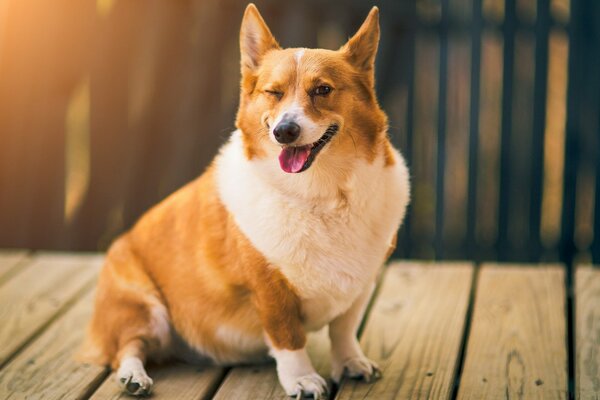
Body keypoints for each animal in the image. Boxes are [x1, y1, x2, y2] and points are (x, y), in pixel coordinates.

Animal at [82, 3, 410, 400]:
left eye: (322, 90)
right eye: (273, 92)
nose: (285, 131)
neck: (321, 193)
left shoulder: (361, 287)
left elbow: (344, 331)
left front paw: (350, 363)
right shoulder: (268, 287)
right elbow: (289, 337)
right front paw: (302, 378)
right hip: (143, 306)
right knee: (128, 347)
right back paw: (134, 377)